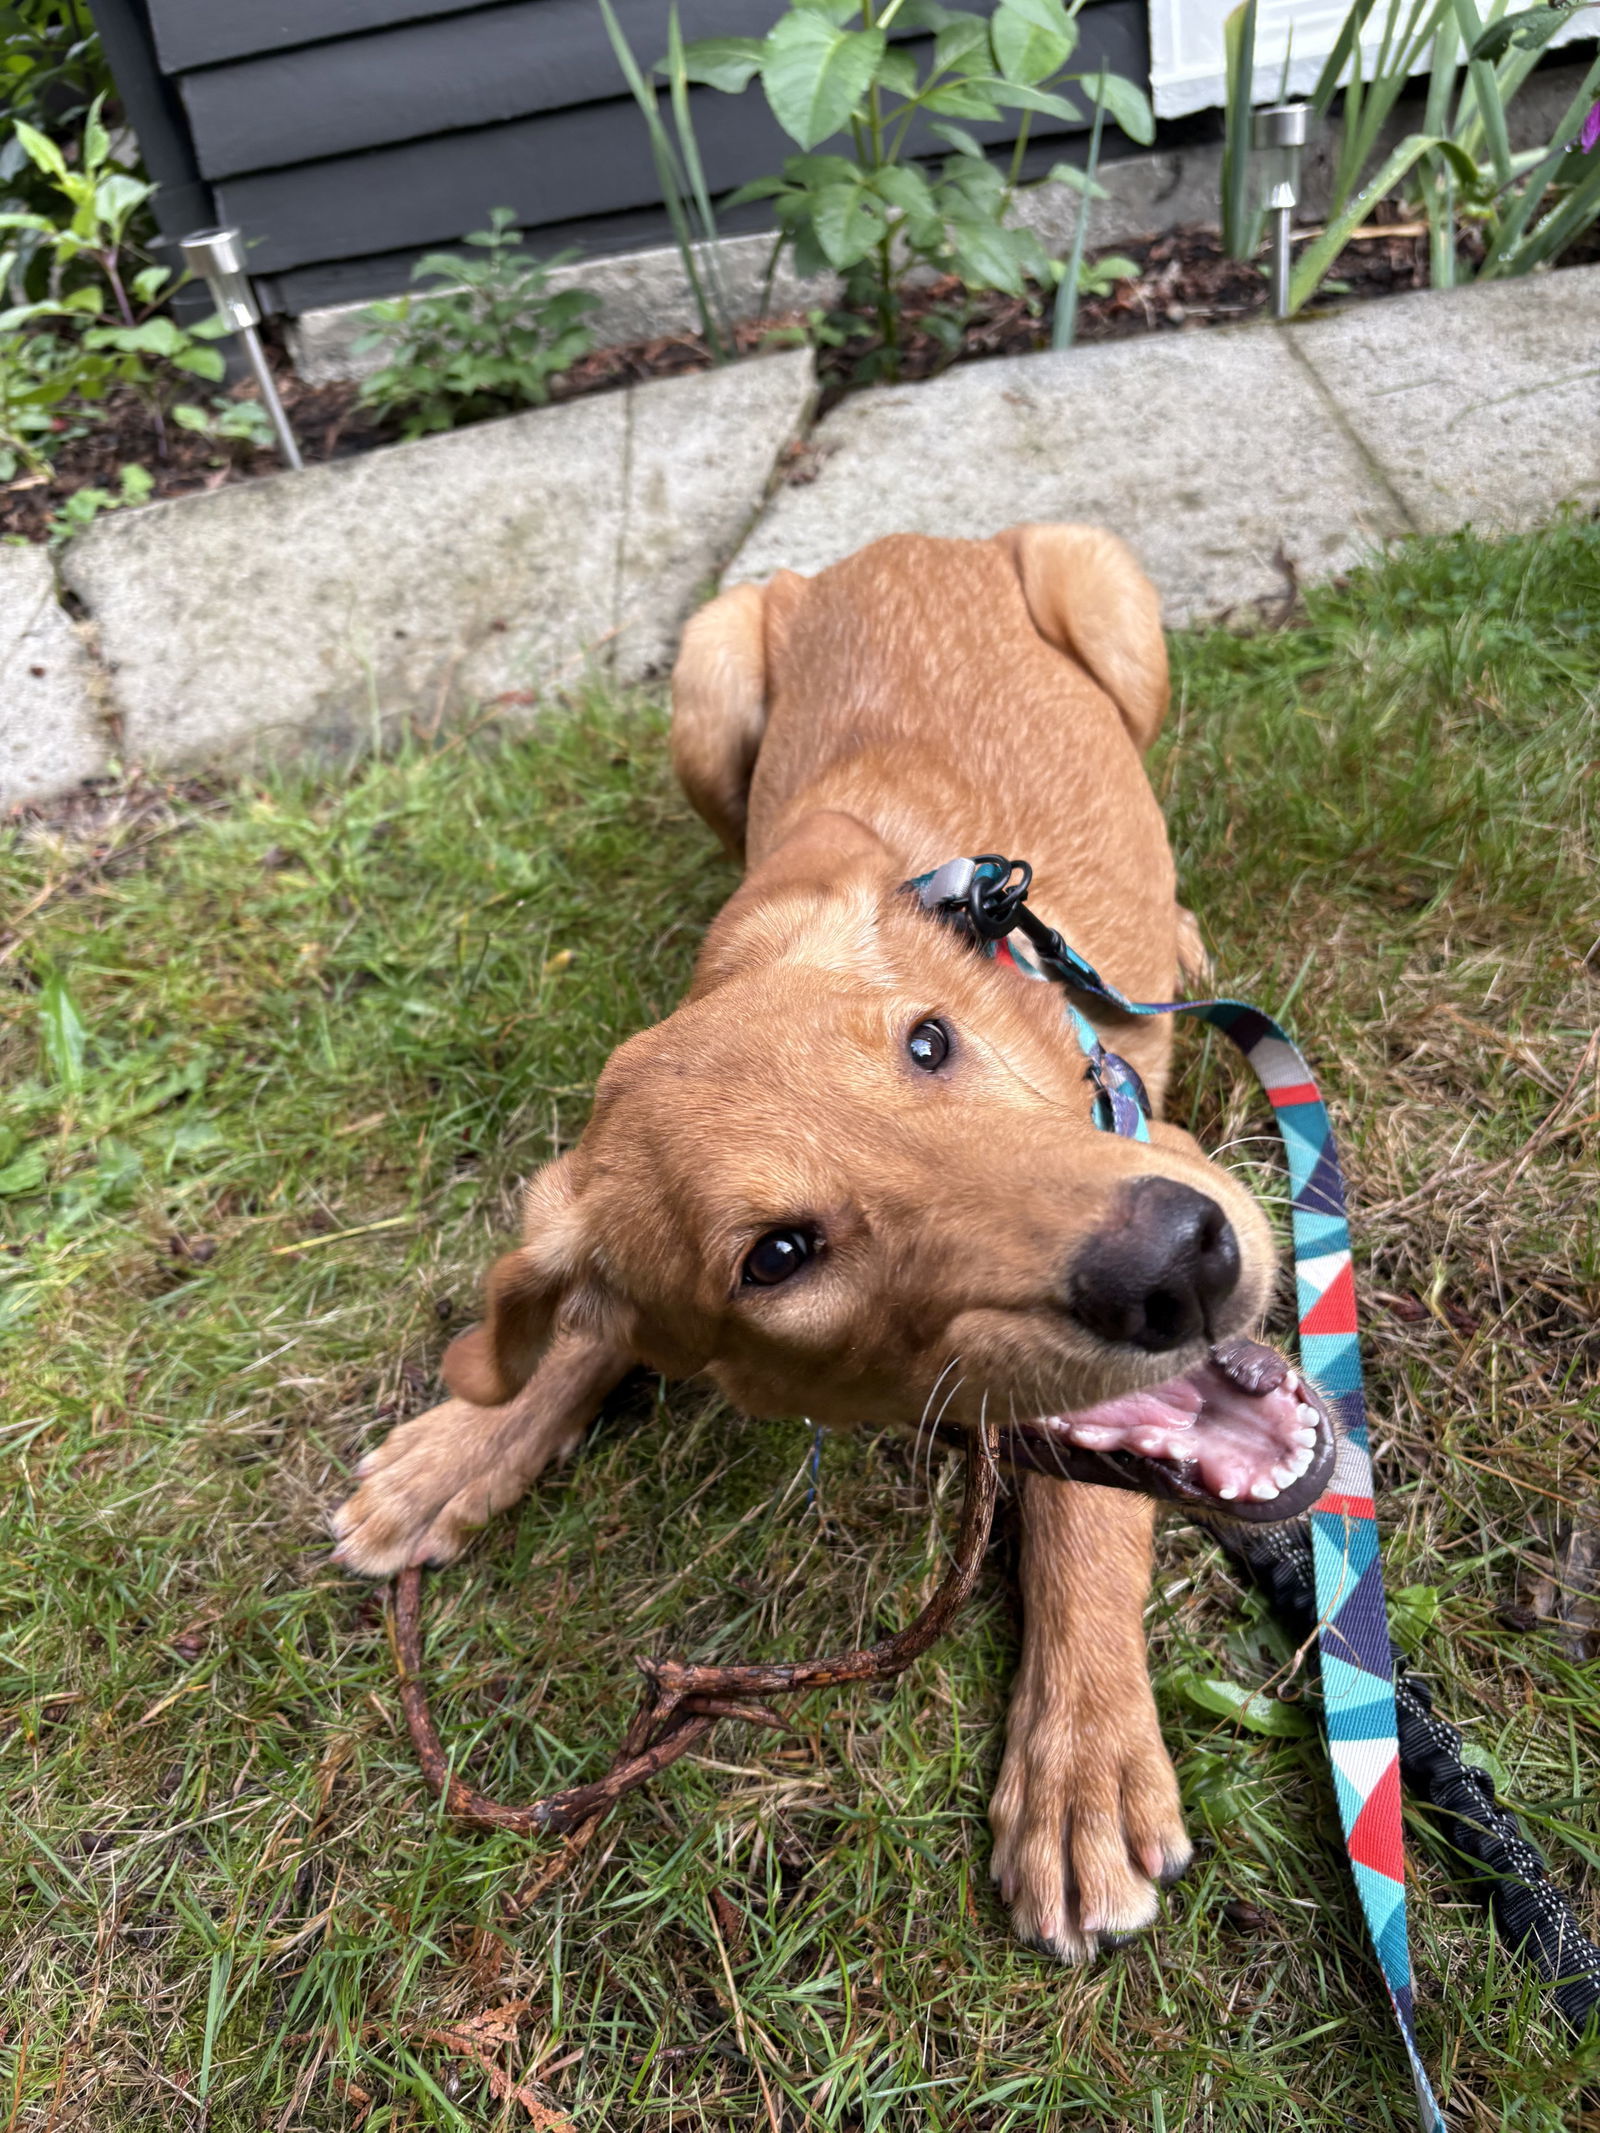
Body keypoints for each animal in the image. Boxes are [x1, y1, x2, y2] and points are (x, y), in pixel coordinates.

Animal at [328, 533, 1314, 1962]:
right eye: (777, 1257)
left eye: (930, 1041)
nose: (1182, 1261)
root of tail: (890, 542)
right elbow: (574, 1323)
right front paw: (456, 1451)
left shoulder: (1153, 1129)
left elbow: (1083, 1507)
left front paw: (1080, 1763)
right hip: (706, 683)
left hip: (1100, 589)